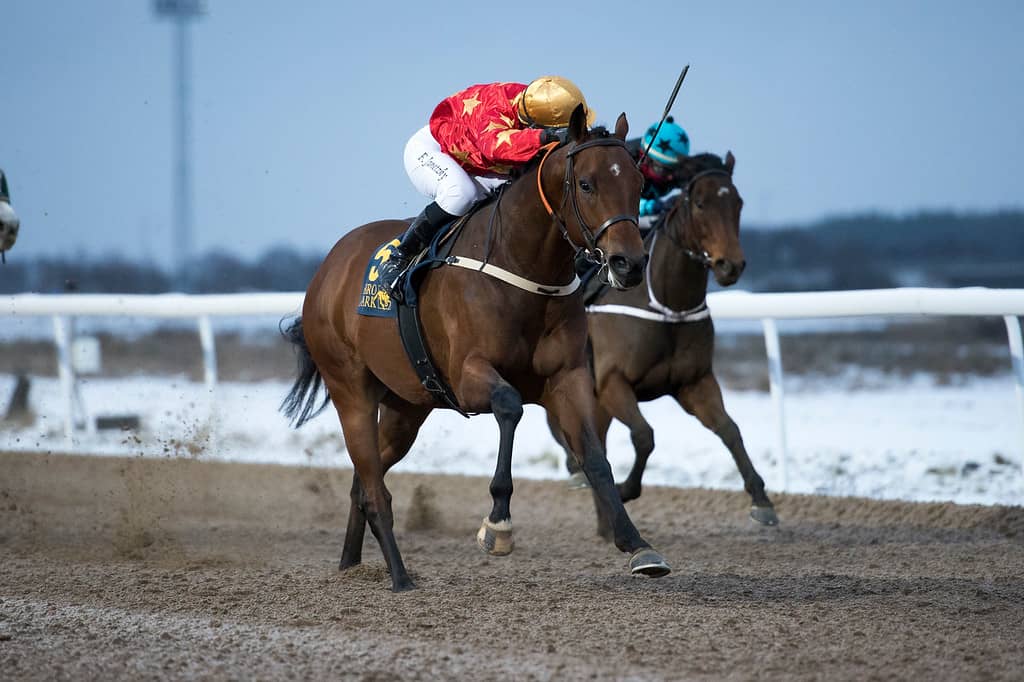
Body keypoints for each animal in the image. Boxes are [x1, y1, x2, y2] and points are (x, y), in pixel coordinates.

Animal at [284, 107, 675, 589]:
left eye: (638, 184)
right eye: (587, 184)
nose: (629, 263)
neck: (522, 266)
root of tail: (327, 268)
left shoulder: (568, 378)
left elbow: (595, 458)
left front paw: (638, 545)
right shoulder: (468, 377)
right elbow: (510, 406)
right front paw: (498, 523)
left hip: (406, 406)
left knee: (363, 479)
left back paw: (351, 564)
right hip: (350, 389)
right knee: (373, 486)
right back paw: (400, 576)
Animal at [552, 150, 774, 536]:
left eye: (738, 202)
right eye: (700, 203)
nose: (731, 265)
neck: (669, 306)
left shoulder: (694, 382)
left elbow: (730, 430)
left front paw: (762, 501)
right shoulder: (611, 383)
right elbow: (644, 436)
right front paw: (627, 488)